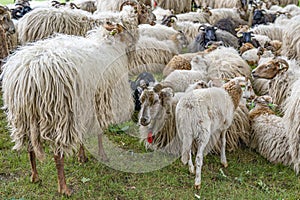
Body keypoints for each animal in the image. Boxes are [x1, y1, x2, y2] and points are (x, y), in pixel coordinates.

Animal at [0, 6, 137, 195]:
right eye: (124, 30)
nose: (134, 44)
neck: (110, 46)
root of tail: (29, 75)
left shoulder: (85, 105)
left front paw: (82, 156)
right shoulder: (100, 102)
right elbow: (100, 132)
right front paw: (101, 155)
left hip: (23, 117)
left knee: (30, 147)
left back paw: (35, 176)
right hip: (60, 115)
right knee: (57, 154)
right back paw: (64, 188)